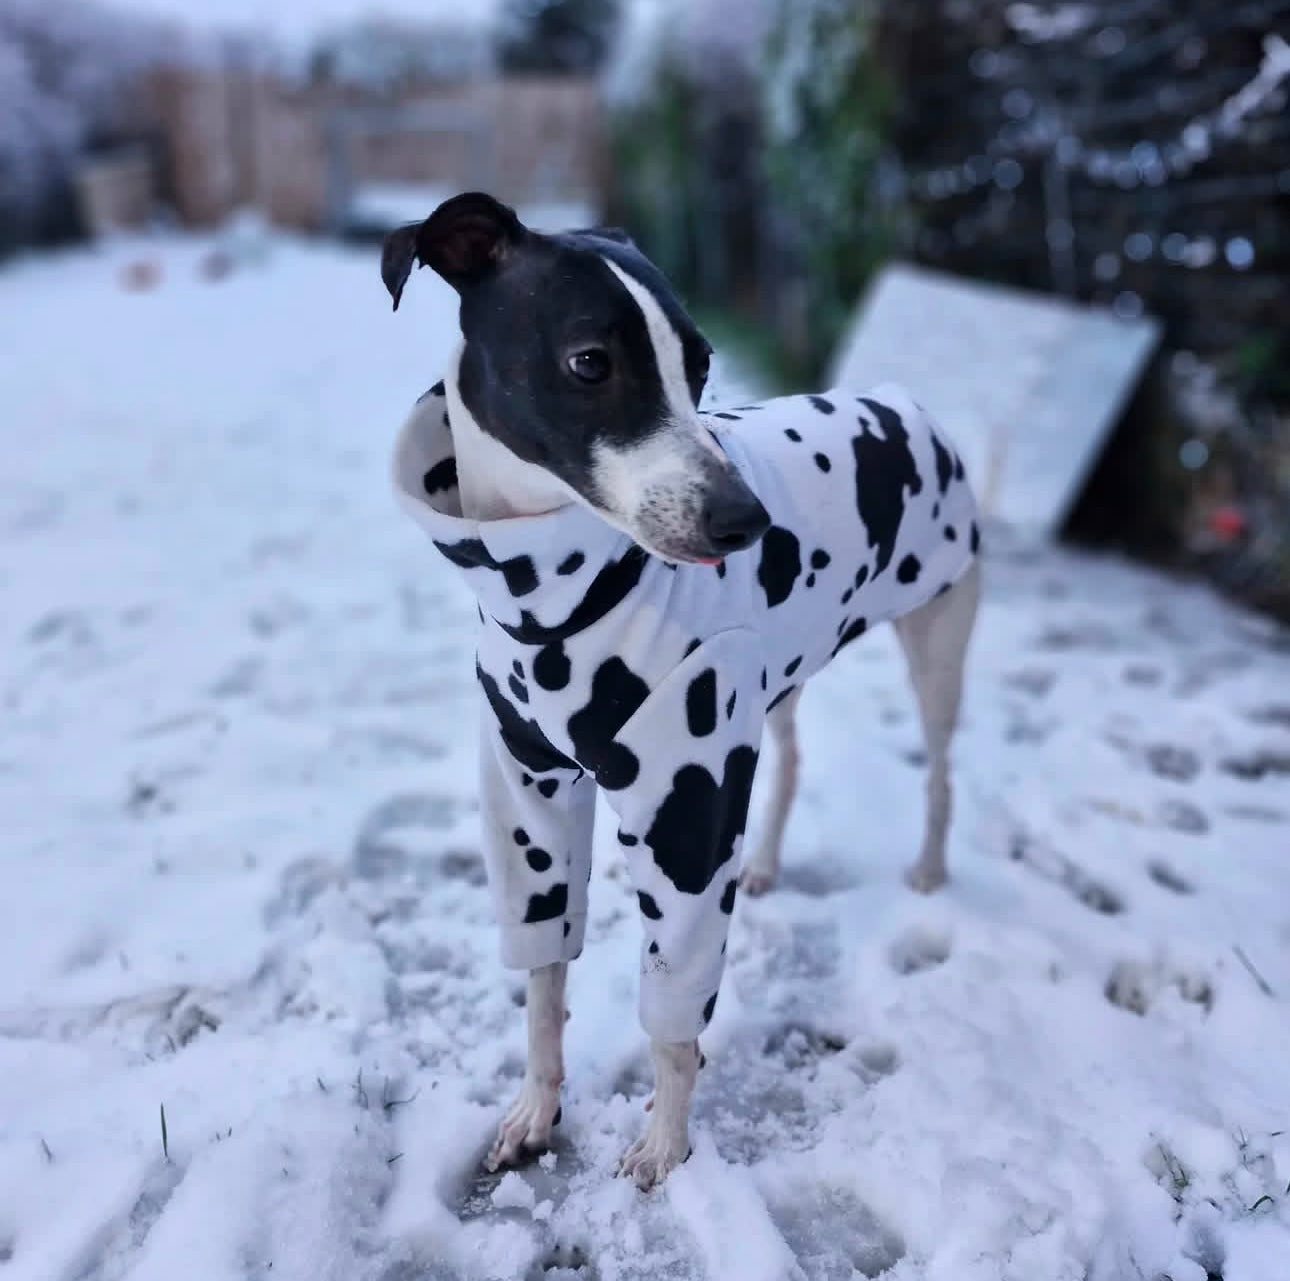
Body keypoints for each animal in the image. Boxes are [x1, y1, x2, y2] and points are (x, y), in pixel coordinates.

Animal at [381, 189, 975, 1191]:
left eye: (700, 365)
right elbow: (543, 976)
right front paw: (535, 1109)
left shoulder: (684, 808)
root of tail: (904, 403)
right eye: (591, 361)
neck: (543, 591)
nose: (746, 521)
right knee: (791, 760)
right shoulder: (530, 791)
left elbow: (673, 1007)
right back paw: (767, 862)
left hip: (936, 636)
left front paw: (664, 1142)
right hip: (769, 685)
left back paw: (930, 868)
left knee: (938, 770)